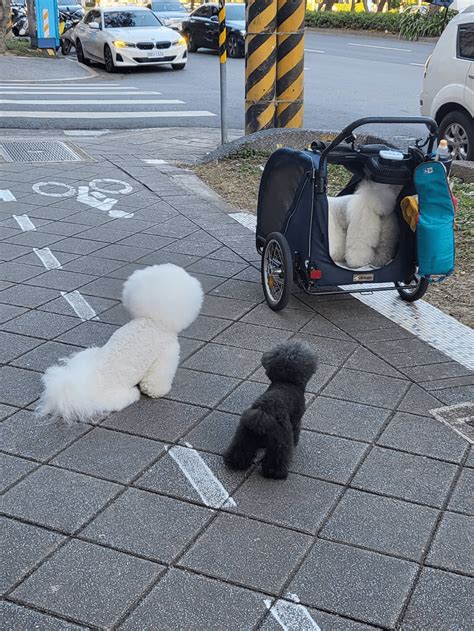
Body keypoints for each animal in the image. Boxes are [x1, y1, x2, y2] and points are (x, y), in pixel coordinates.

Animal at [35, 264, 202, 422]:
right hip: (115, 398)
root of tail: (85, 386)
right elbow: (154, 383)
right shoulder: (165, 355)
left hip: (88, 355)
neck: (152, 319)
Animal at [223, 340, 318, 478]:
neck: (286, 381)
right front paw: (295, 442)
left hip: (245, 432)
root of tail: (264, 411)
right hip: (281, 439)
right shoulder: (296, 420)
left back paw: (235, 462)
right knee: (277, 457)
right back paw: (275, 472)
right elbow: (296, 431)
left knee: (240, 449)